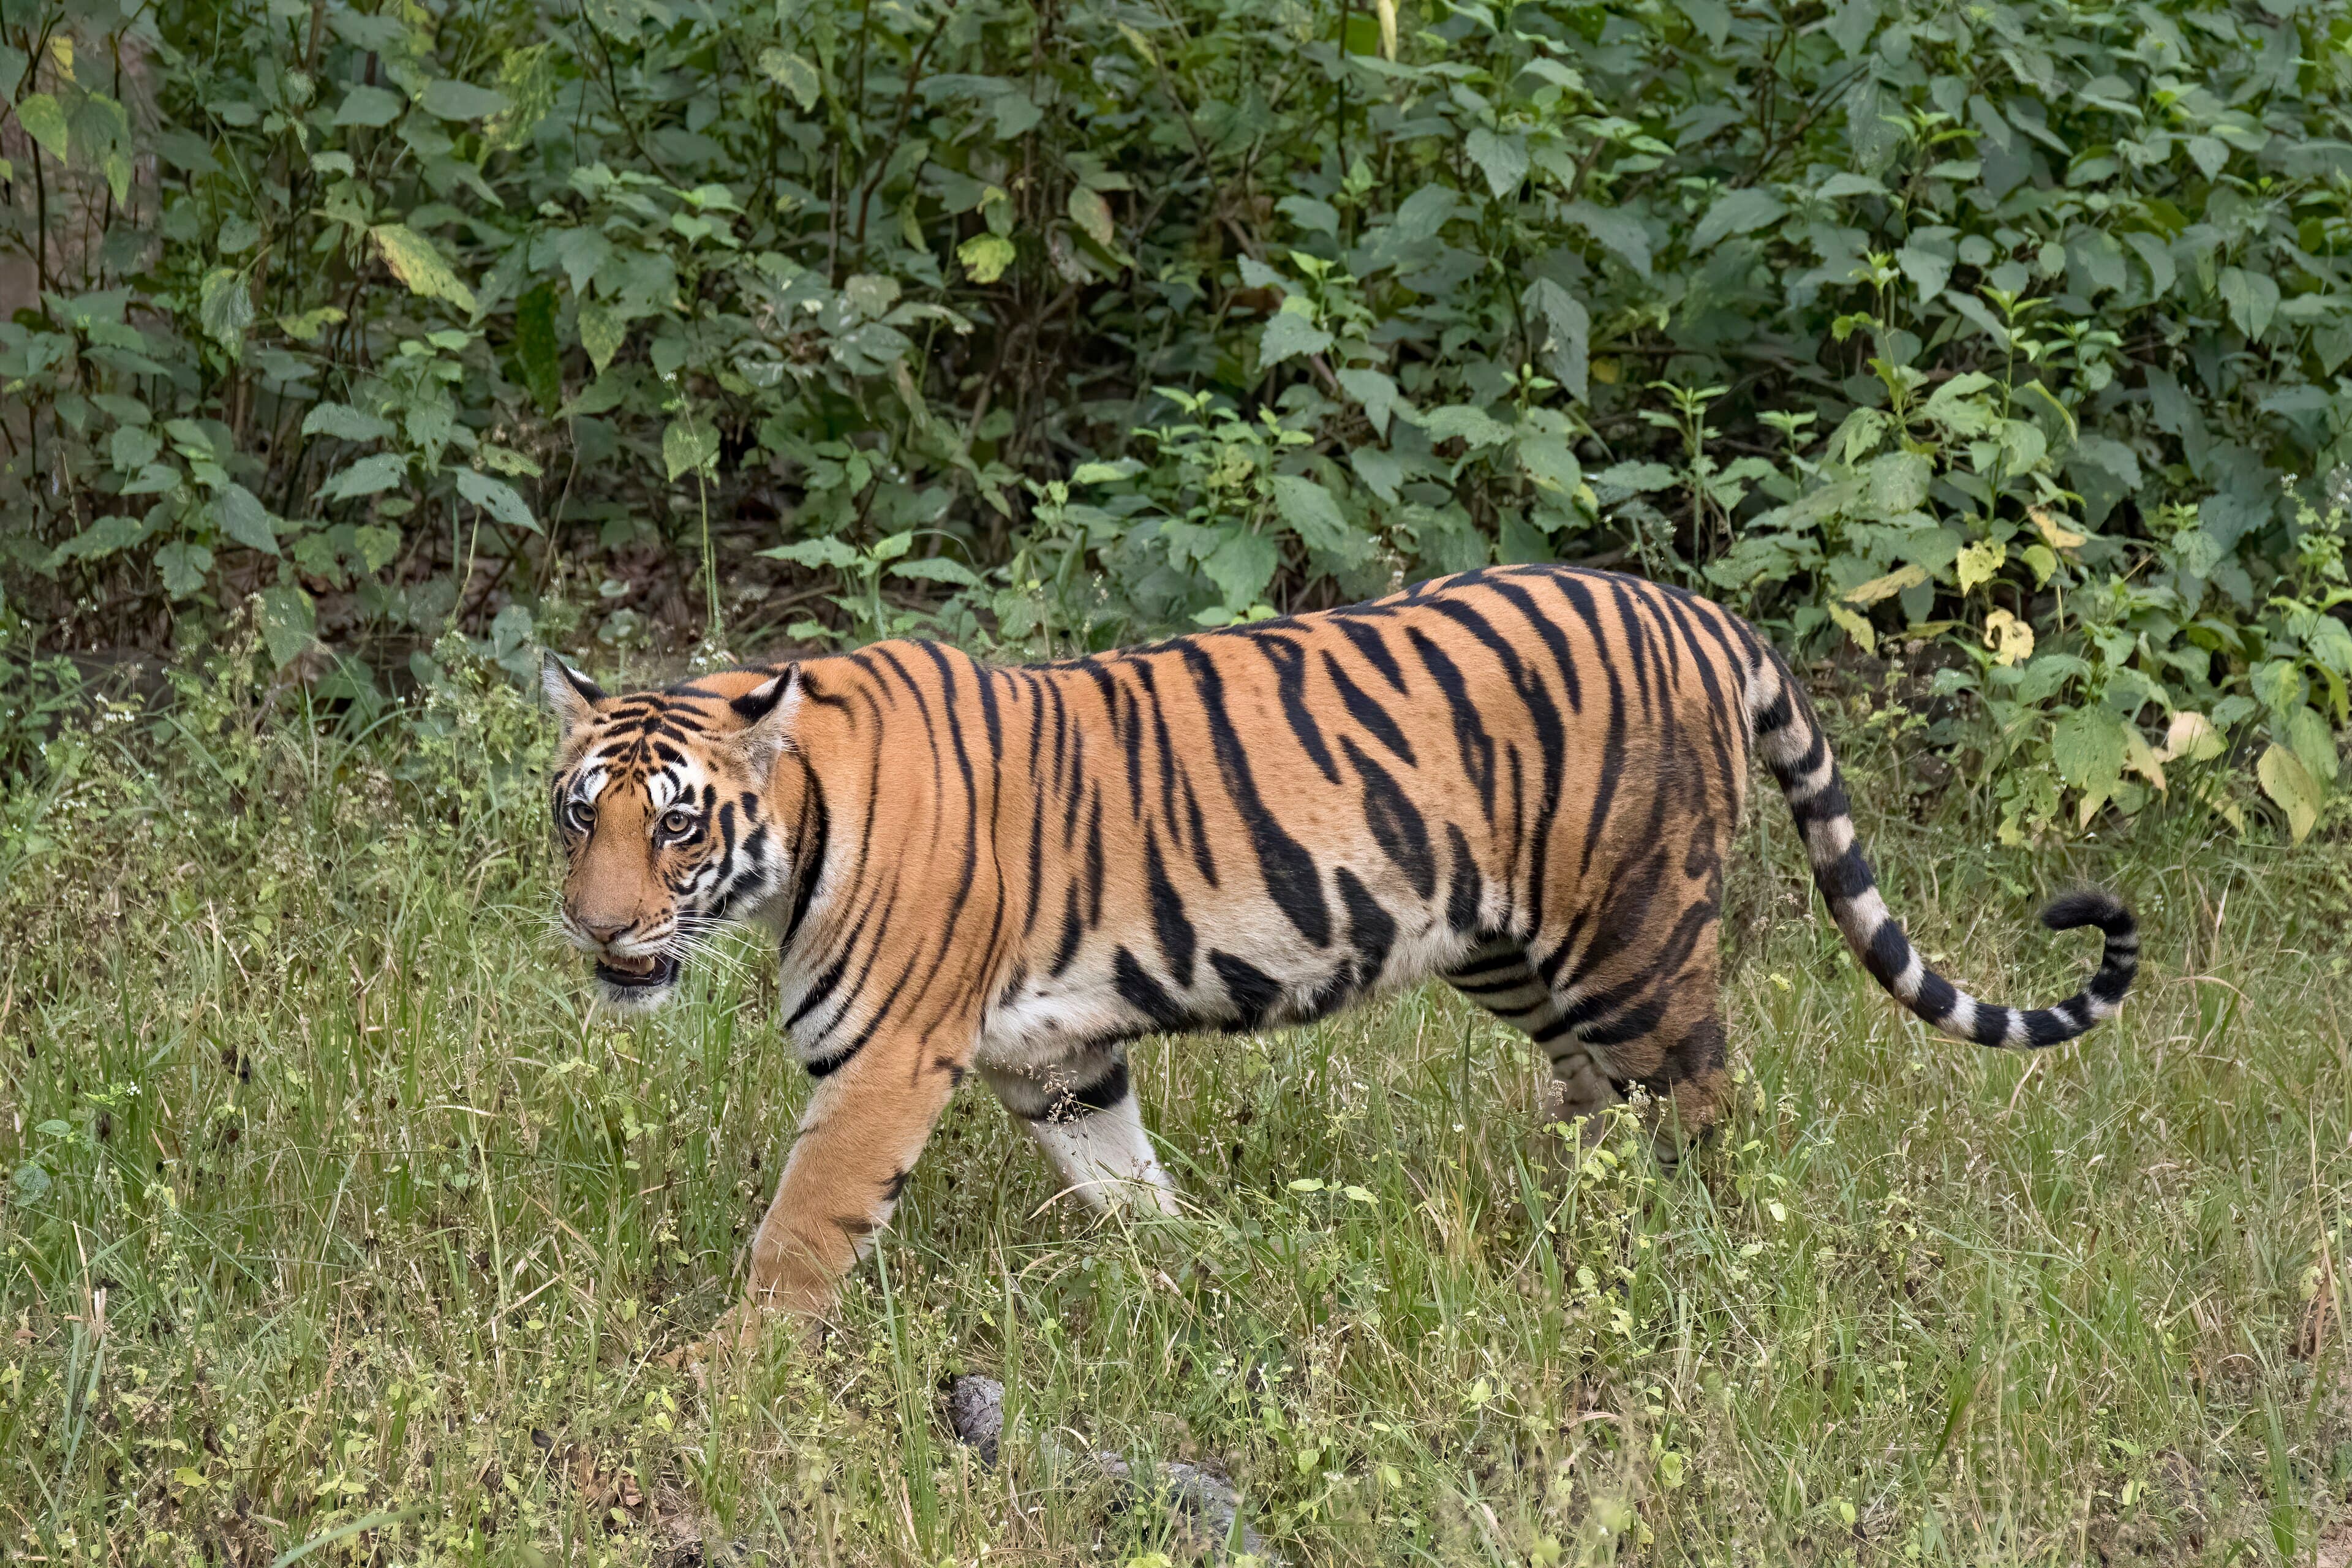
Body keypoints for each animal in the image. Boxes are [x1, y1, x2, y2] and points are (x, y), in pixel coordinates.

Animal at [540, 563, 2137, 1339]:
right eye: (577, 813)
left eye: (677, 824)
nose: (600, 928)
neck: (797, 832)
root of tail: (1699, 611)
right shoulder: (1059, 1057)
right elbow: (1125, 1182)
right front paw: (1200, 1268)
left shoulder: (882, 1061)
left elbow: (802, 1228)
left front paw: (730, 1371)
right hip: (1507, 946)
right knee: (1596, 1096)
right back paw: (1561, 1223)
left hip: (1633, 932)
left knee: (1702, 1103)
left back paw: (1694, 1256)